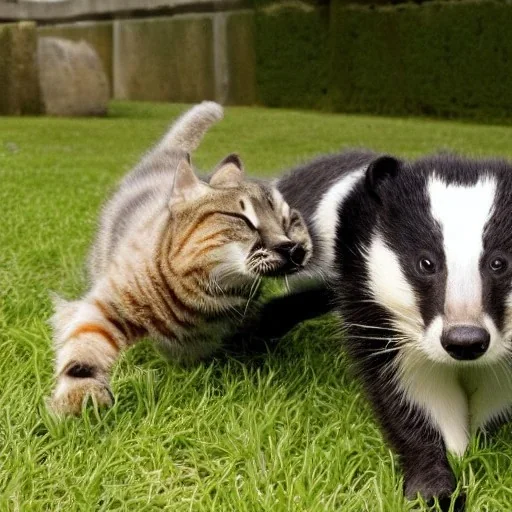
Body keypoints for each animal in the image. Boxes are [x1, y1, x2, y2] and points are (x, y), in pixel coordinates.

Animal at [49, 101, 312, 416]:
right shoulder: (108, 304)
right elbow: (84, 347)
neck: (200, 296)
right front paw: (81, 396)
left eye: (288, 223)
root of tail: (170, 153)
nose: (291, 248)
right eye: (243, 219)